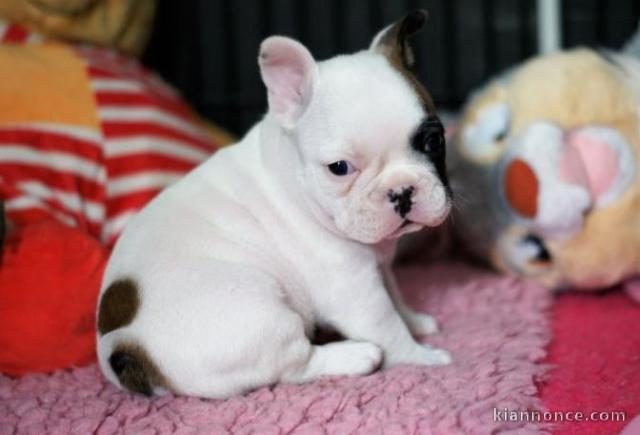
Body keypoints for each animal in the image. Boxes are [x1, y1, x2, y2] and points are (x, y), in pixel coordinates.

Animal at [97, 10, 452, 400]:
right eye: (339, 168)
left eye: (434, 141)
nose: (401, 190)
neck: (297, 182)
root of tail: (125, 349)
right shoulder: (356, 291)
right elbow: (389, 328)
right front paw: (423, 358)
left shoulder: (379, 267)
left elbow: (396, 297)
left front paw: (415, 320)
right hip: (265, 318)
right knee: (297, 365)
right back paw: (357, 355)